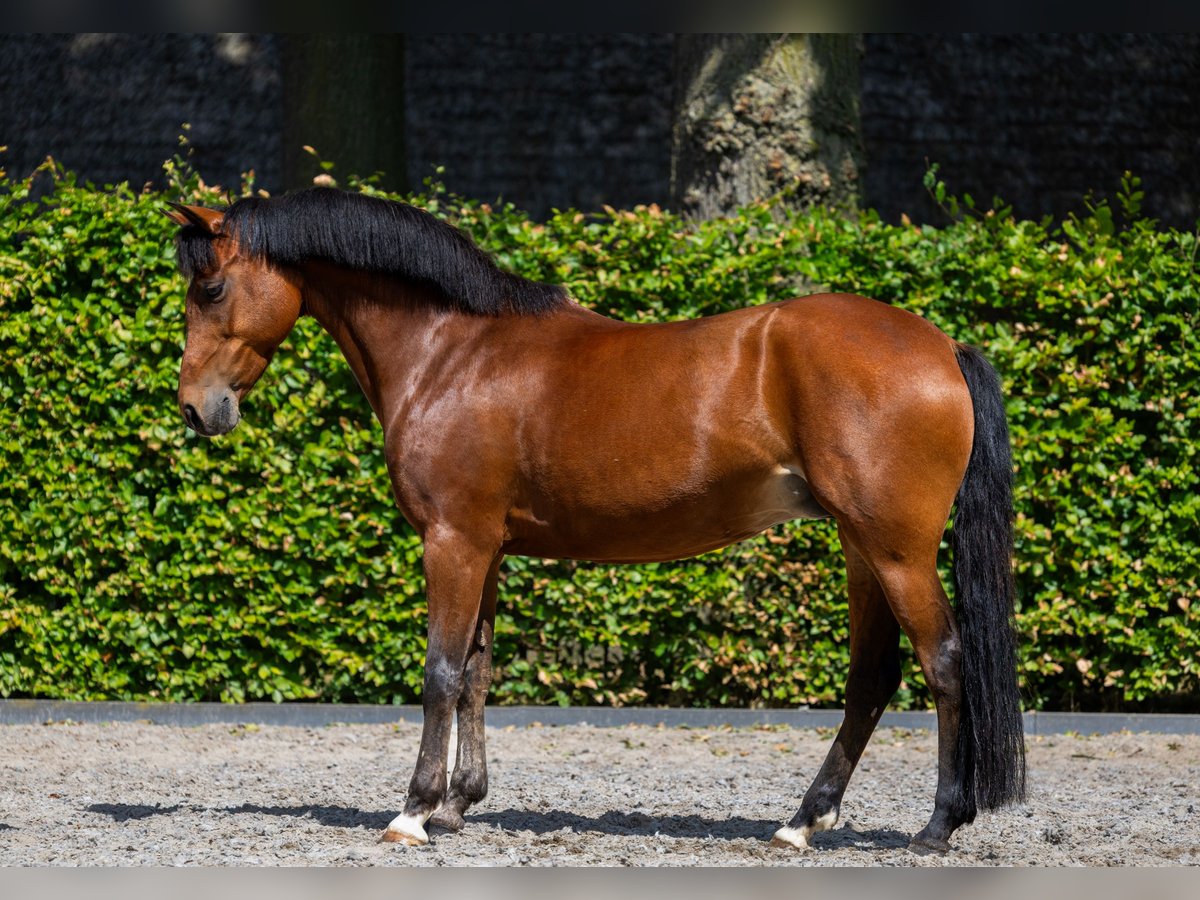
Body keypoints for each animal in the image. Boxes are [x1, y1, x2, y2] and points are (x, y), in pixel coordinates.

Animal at [163, 187, 1025, 854]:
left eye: (210, 290)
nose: (197, 409)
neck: (452, 352)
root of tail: (941, 345)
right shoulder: (489, 549)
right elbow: (477, 671)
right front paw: (458, 804)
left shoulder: (453, 542)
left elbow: (440, 672)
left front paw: (413, 812)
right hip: (859, 547)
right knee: (871, 678)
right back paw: (802, 823)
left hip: (896, 550)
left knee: (944, 661)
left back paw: (937, 826)